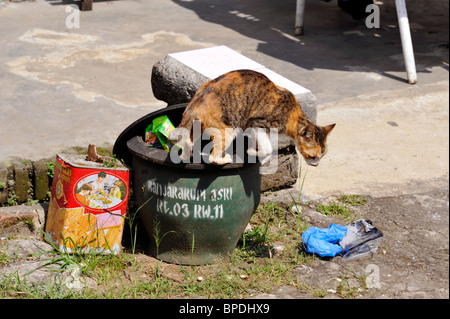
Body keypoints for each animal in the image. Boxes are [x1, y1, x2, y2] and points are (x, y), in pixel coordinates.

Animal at [170, 69, 334, 168]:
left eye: (322, 155)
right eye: (312, 156)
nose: (317, 164)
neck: (292, 113)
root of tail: (194, 104)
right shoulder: (257, 123)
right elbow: (267, 149)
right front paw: (251, 152)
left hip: (198, 128)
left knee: (187, 143)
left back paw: (188, 155)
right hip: (227, 131)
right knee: (212, 158)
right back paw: (225, 158)